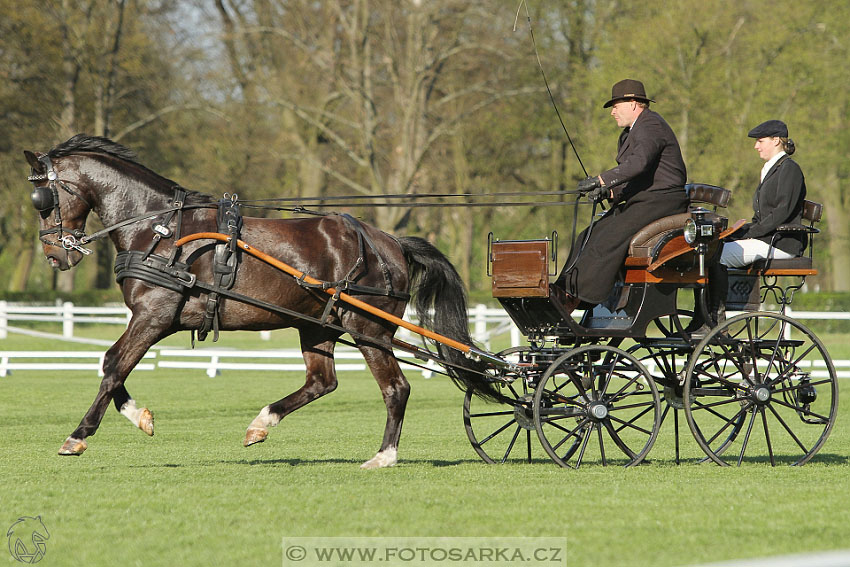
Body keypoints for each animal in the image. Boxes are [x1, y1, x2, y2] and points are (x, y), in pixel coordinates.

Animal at [26, 134, 500, 470]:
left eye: (42, 199)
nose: (54, 255)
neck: (161, 229)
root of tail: (391, 242)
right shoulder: (151, 319)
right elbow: (113, 366)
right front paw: (141, 416)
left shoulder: (153, 316)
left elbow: (113, 367)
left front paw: (78, 436)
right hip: (318, 325)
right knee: (322, 382)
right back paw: (261, 424)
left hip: (369, 328)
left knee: (395, 388)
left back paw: (384, 456)